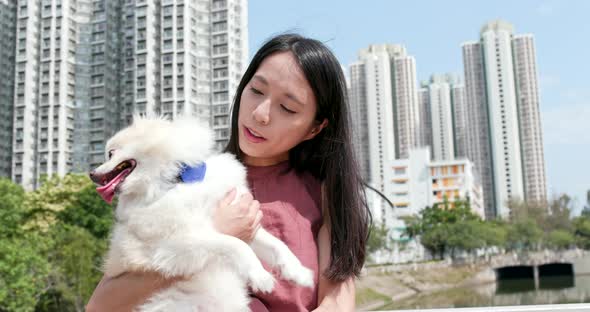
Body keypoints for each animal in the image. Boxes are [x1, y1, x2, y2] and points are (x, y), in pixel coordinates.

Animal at [89, 115, 314, 312]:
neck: (175, 181)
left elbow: (277, 245)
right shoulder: (175, 244)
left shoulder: (246, 227)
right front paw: (261, 276)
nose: (91, 174)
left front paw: (299, 272)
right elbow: (235, 245)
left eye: (111, 153)